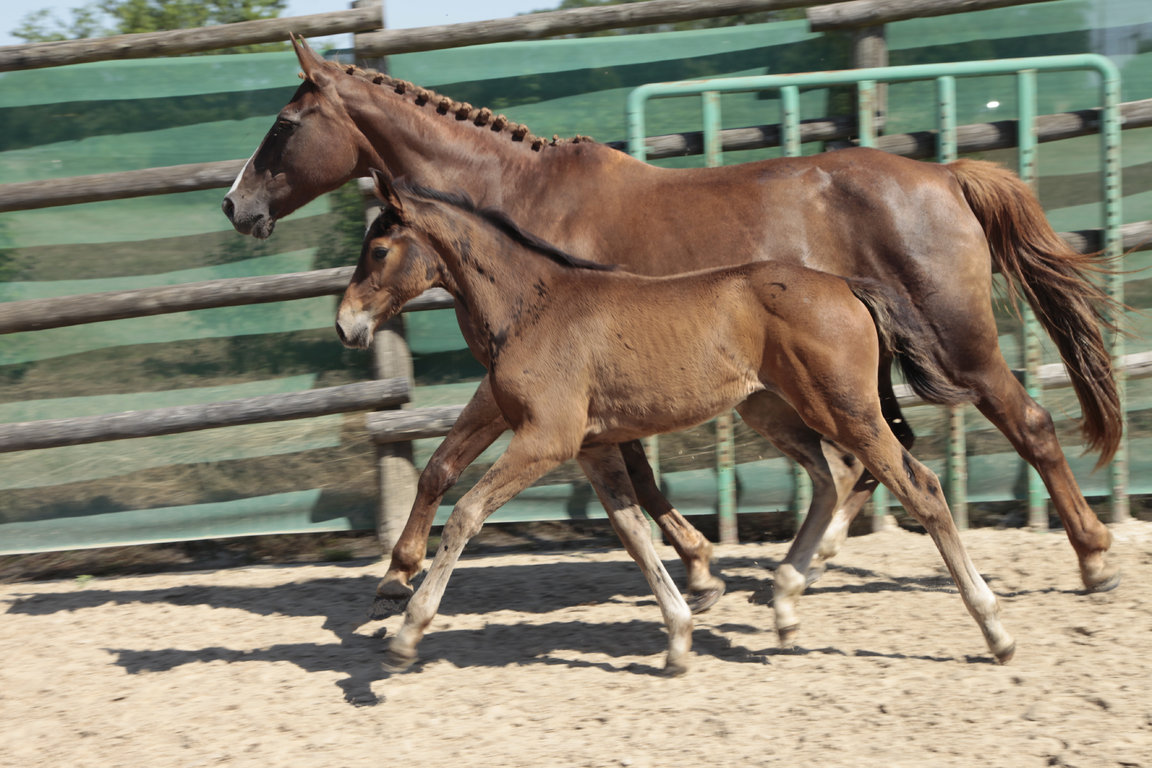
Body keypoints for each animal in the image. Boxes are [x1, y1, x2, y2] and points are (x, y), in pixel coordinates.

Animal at [220, 37, 1119, 612]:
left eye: (285, 125)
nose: (236, 205)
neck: (517, 206)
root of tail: (946, 174)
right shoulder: (543, 390)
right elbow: (455, 468)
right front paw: (395, 575)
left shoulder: (558, 388)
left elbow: (619, 479)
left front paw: (701, 567)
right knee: (877, 457)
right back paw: (804, 569)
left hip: (958, 344)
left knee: (1027, 425)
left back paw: (1094, 557)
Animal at [336, 172, 1018, 672]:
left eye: (378, 250)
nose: (345, 326)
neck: (534, 305)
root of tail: (846, 284)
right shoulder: (592, 448)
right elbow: (634, 532)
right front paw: (680, 638)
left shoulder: (546, 440)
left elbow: (469, 513)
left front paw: (407, 632)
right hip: (772, 407)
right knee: (834, 477)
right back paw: (785, 603)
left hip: (844, 409)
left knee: (919, 486)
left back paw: (995, 630)